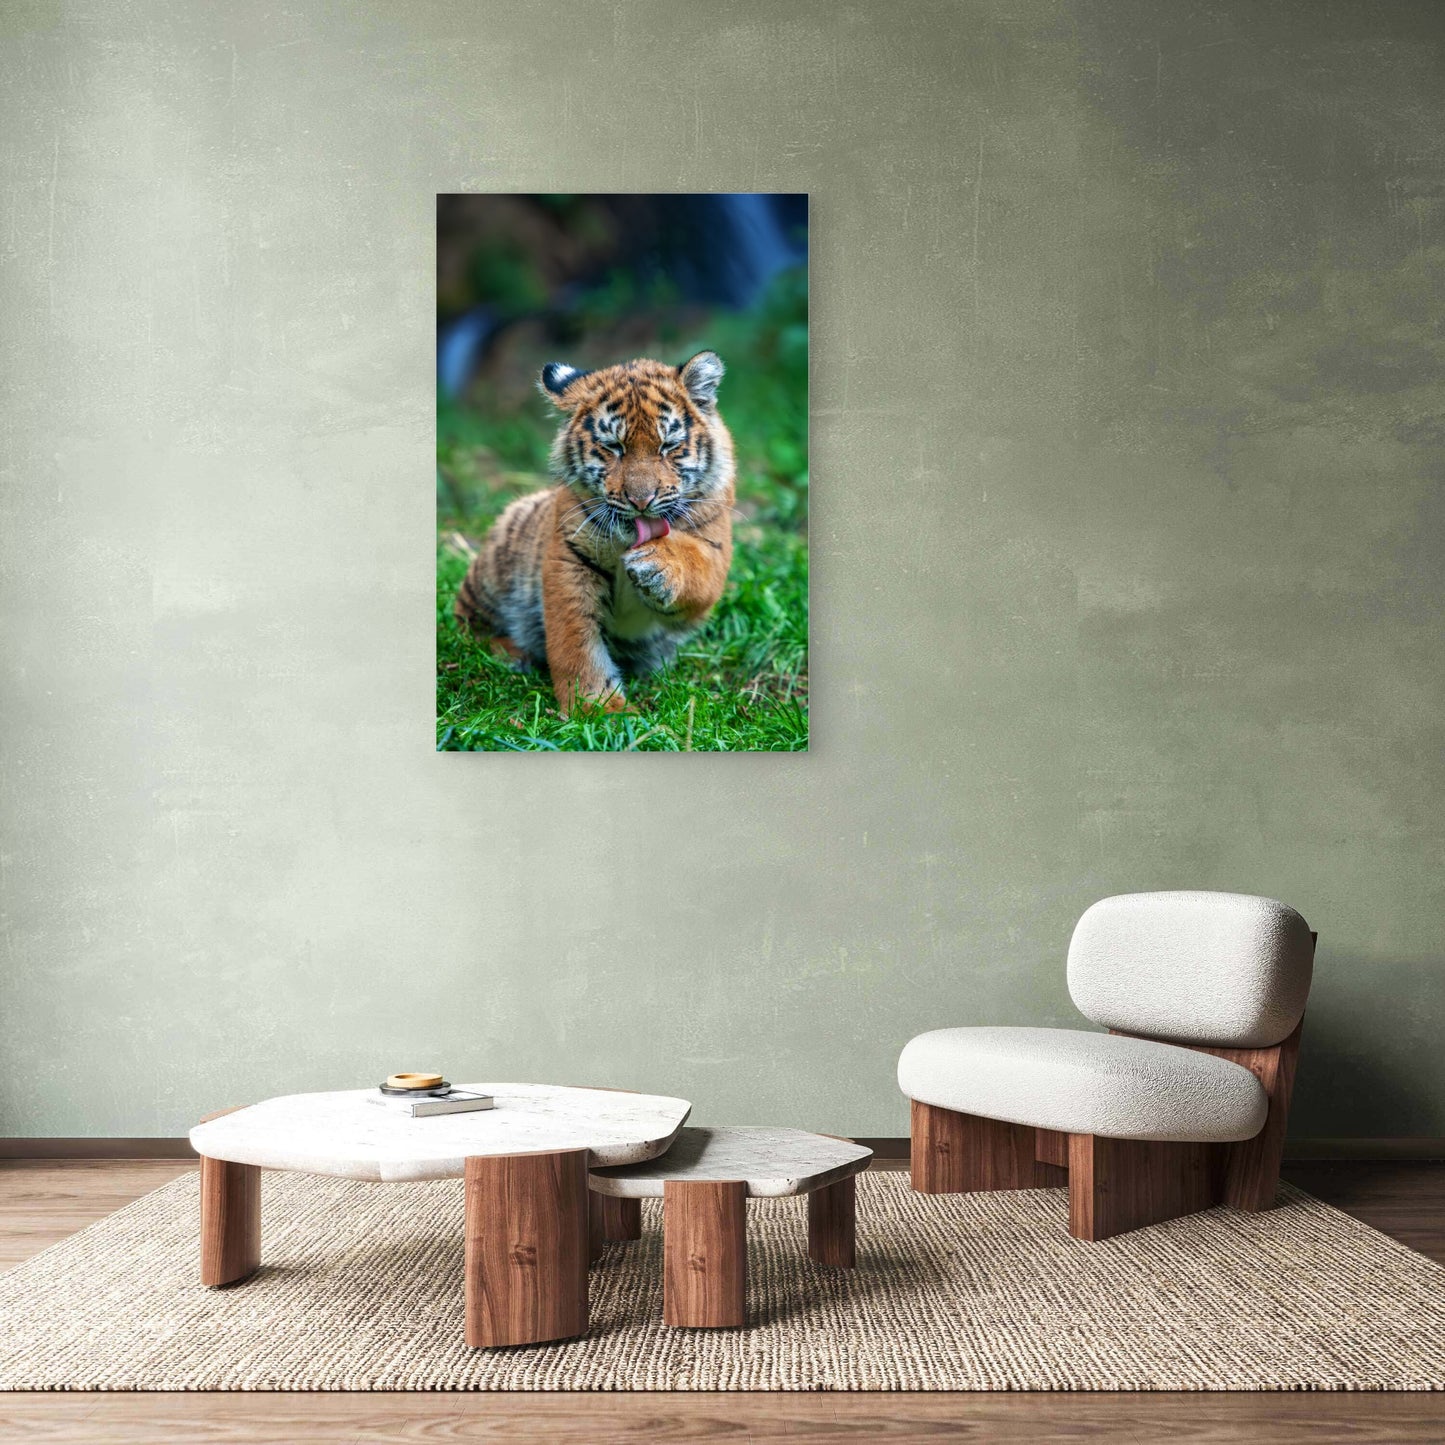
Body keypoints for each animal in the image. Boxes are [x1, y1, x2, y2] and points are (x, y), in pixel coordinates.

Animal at [454, 351, 735, 716]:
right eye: (613, 447)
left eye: (668, 446)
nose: (641, 500)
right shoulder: (569, 560)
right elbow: (576, 643)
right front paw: (599, 709)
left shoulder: (716, 552)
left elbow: (695, 567)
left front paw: (656, 565)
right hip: (495, 567)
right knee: (466, 627)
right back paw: (512, 654)